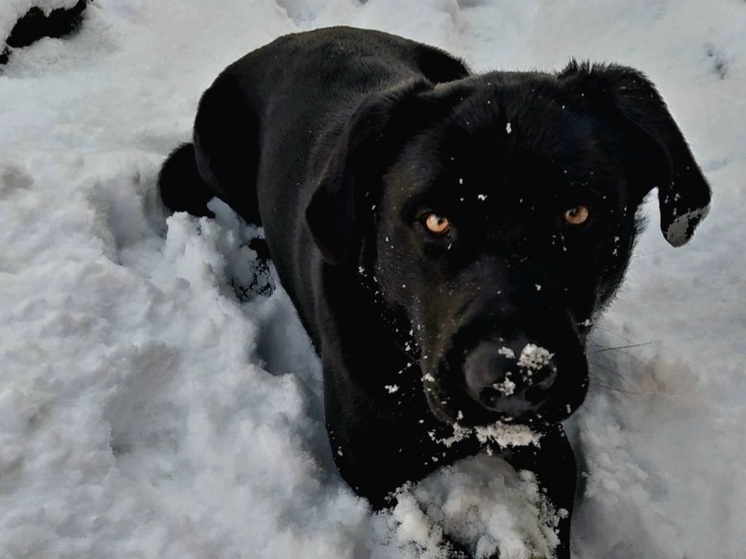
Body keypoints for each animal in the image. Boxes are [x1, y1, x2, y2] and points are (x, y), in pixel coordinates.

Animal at [158, 25, 708, 556]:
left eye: (577, 213)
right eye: (436, 220)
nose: (514, 378)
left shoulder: (548, 446)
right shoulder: (374, 476)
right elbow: (435, 542)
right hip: (215, 159)